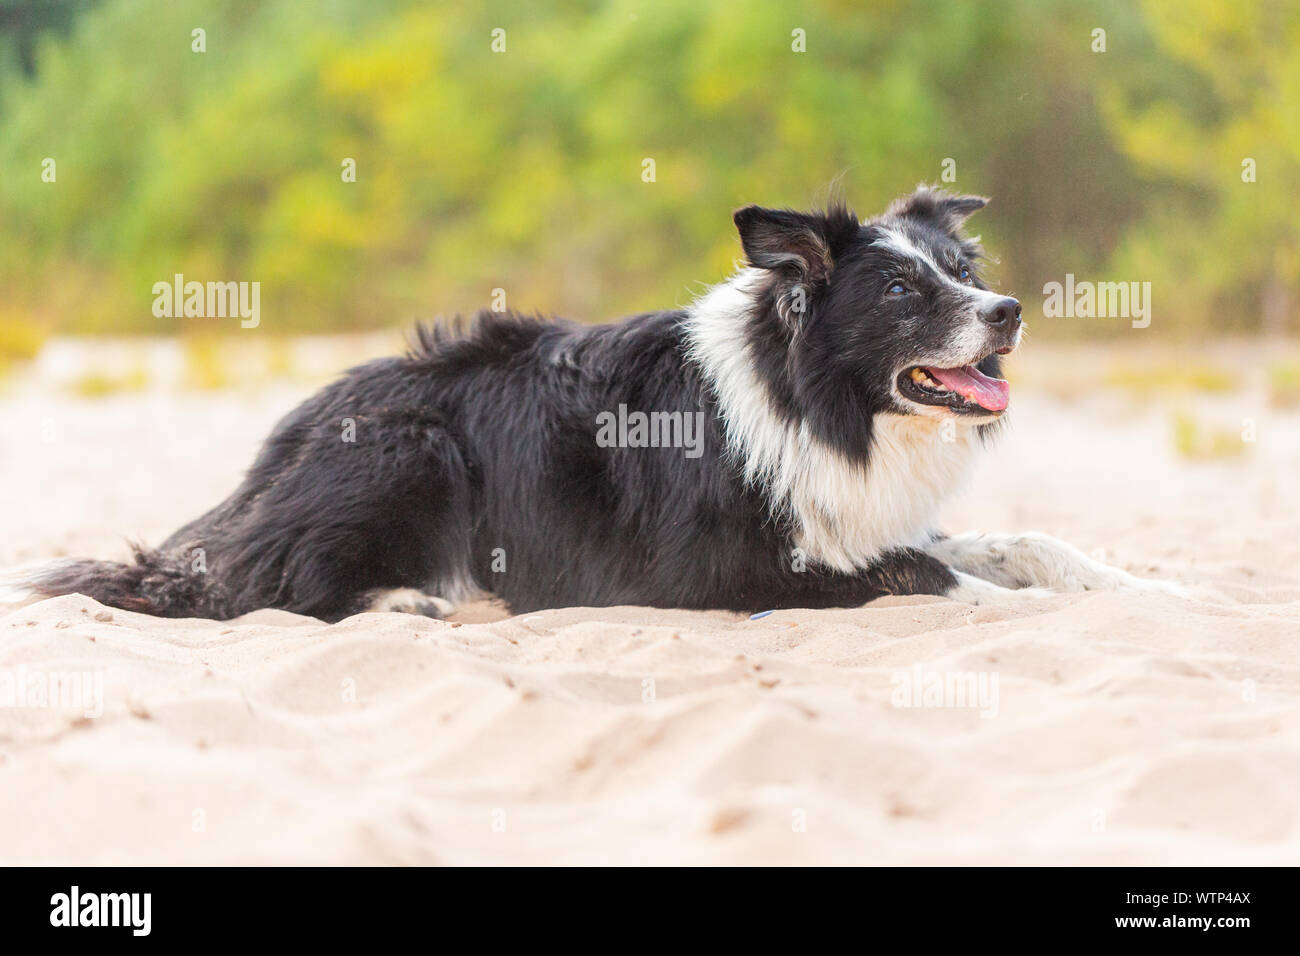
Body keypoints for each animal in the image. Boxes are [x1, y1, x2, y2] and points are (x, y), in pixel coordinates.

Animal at [20, 187, 1180, 621]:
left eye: (962, 270)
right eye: (900, 291)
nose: (1009, 311)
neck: (811, 395)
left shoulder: (855, 513)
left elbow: (1026, 542)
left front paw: (1140, 586)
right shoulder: (731, 566)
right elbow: (937, 577)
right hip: (411, 448)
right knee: (271, 591)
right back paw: (408, 603)